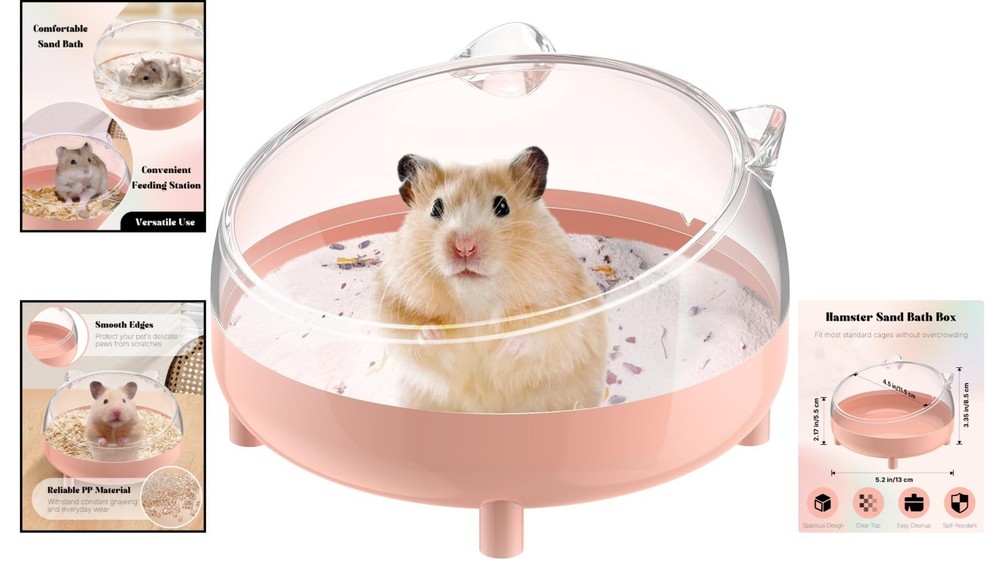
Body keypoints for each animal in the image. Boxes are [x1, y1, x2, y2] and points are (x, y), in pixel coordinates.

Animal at [374, 146, 609, 413]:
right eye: (435, 208)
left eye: (503, 206)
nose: (464, 247)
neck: (476, 301)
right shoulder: (391, 301)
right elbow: (407, 331)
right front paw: (434, 334)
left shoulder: (568, 310)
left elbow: (545, 332)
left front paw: (506, 346)